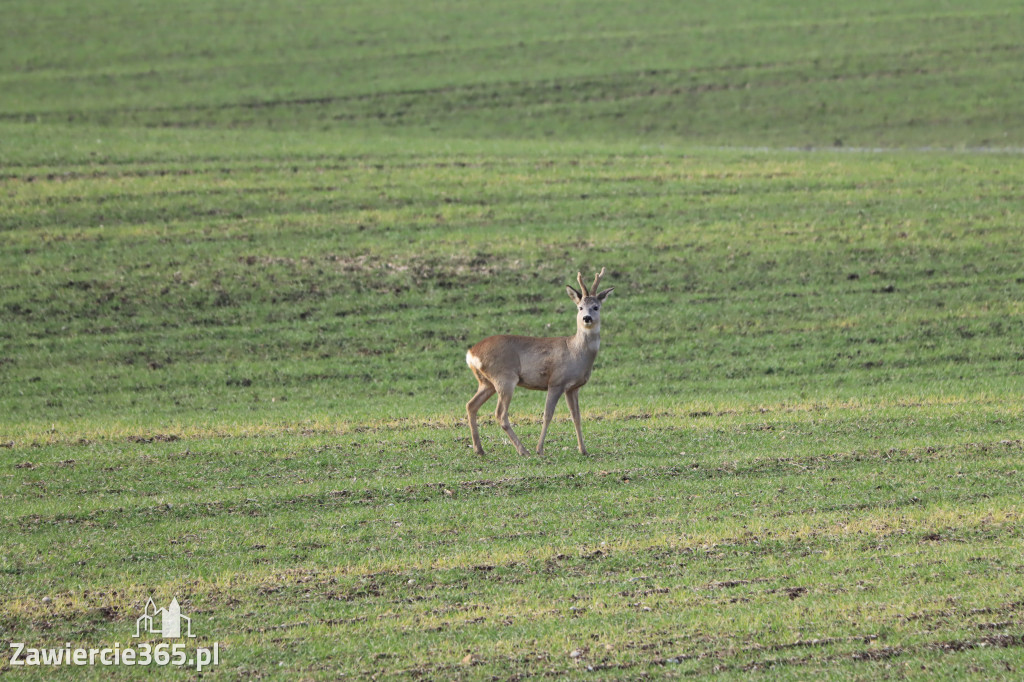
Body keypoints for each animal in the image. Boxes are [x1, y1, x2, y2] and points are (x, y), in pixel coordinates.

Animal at [466, 268, 614, 454]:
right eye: (580, 307)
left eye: (596, 307)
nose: (587, 318)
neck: (576, 352)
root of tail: (471, 353)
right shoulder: (556, 381)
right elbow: (548, 414)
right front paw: (540, 449)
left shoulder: (573, 387)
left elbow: (577, 417)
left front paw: (584, 450)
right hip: (504, 377)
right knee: (500, 414)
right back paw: (523, 450)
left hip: (486, 382)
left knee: (471, 405)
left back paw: (479, 449)